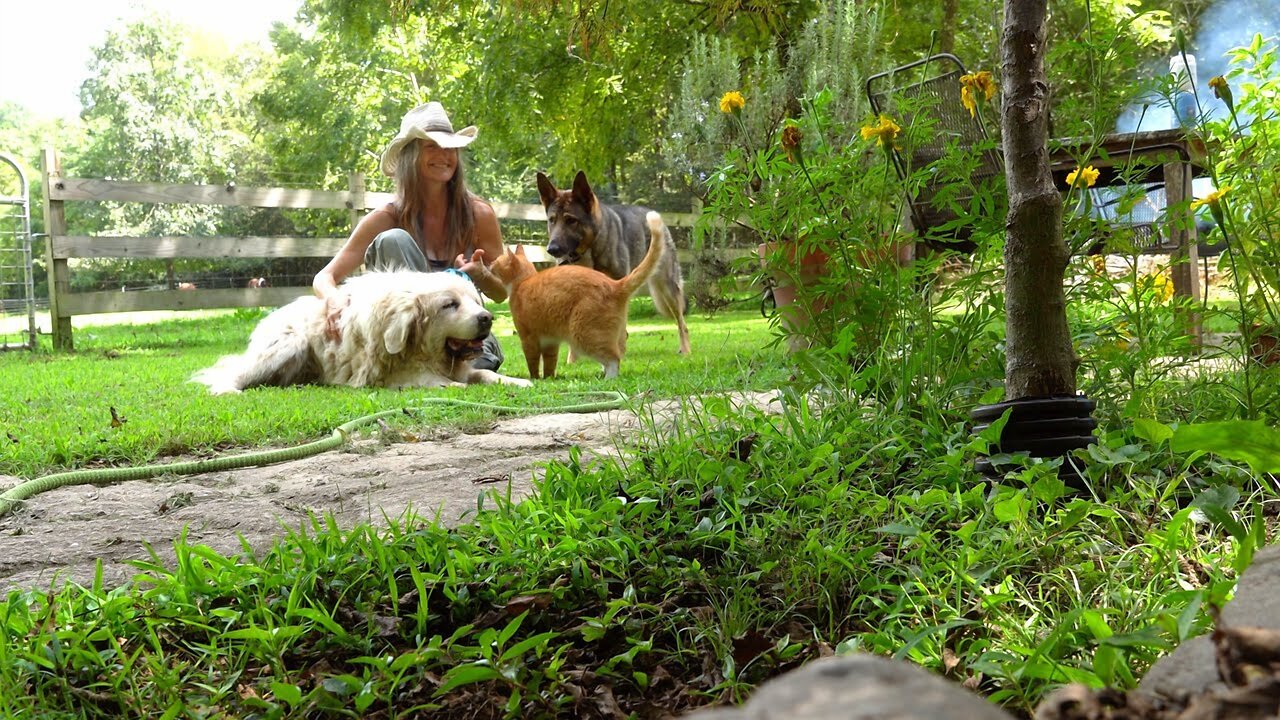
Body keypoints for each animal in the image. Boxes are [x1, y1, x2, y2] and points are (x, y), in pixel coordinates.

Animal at [192, 269, 532, 392]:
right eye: (450, 305)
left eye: (474, 301)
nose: (487, 318)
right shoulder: (389, 374)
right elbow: (441, 382)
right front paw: (452, 386)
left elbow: (483, 374)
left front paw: (514, 381)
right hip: (289, 345)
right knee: (236, 373)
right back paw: (227, 388)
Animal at [491, 211, 670, 379]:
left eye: (497, 261)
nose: (490, 264)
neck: (523, 281)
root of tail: (615, 285)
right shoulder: (550, 341)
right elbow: (550, 362)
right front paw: (548, 378)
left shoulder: (528, 338)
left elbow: (532, 362)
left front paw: (535, 378)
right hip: (612, 334)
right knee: (616, 353)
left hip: (583, 333)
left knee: (613, 359)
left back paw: (608, 378)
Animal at [532, 171, 691, 356]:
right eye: (552, 220)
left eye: (571, 220)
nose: (552, 249)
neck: (586, 252)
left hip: (668, 288)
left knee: (682, 323)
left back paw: (685, 349)